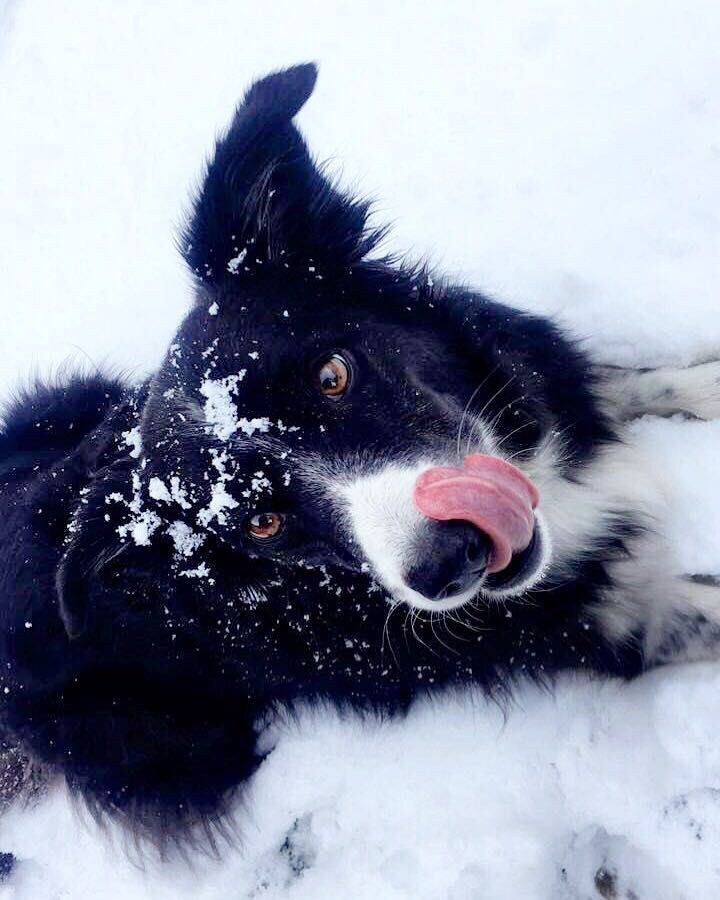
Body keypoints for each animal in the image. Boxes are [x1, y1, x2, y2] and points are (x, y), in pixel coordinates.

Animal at [1, 65, 720, 852]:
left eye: (331, 375)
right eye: (262, 524)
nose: (449, 562)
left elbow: (631, 380)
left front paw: (706, 383)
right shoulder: (606, 627)